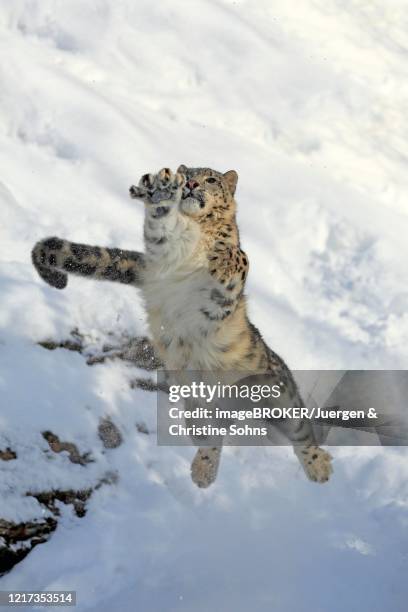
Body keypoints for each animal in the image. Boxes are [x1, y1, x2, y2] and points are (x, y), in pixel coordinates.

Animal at [31, 166, 332, 488]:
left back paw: (320, 467)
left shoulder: (219, 304)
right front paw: (161, 194)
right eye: (187, 174)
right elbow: (160, 226)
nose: (191, 183)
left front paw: (222, 258)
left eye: (211, 179)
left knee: (301, 432)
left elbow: (237, 258)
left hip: (279, 395)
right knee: (211, 440)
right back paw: (203, 472)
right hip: (198, 409)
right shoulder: (158, 254)